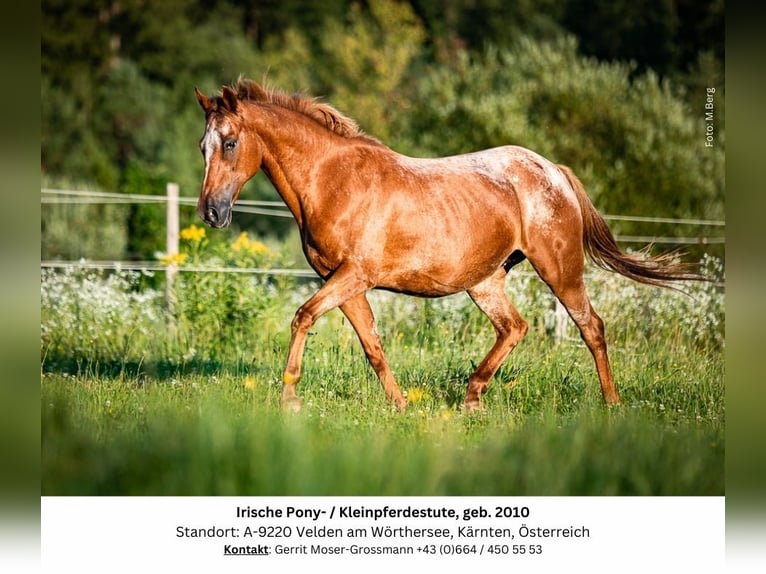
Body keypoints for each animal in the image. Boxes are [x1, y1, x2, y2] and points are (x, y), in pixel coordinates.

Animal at [194, 80, 704, 414]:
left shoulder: (354, 275)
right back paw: (472, 398)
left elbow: (302, 317)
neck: (334, 181)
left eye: (231, 143)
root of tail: (553, 170)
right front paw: (400, 405)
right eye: (202, 146)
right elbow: (372, 345)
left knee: (591, 327)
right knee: (514, 328)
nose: (211, 213)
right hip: (485, 281)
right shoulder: (341, 281)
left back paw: (611, 403)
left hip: (559, 269)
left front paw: (289, 398)